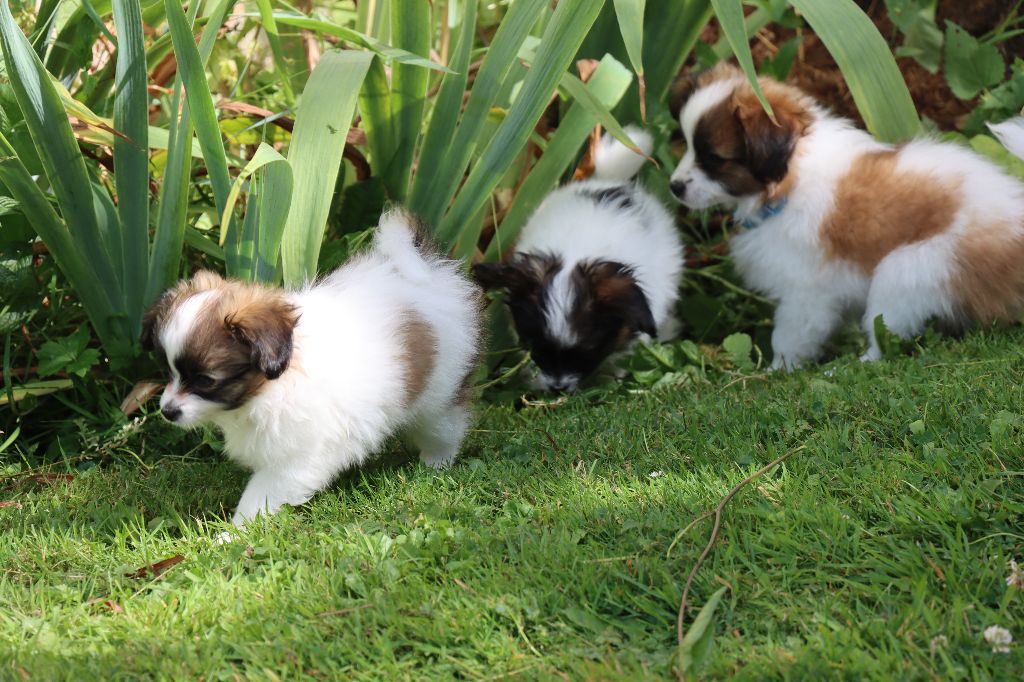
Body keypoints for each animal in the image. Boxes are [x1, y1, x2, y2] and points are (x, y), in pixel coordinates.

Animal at [142, 210, 485, 524]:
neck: (273, 384)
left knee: (444, 428)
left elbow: (259, 496)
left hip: (439, 397)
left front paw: (231, 534)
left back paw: (434, 464)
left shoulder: (297, 458)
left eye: (204, 380)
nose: (167, 411)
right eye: (169, 371)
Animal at [667, 65, 1019, 366]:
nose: (674, 187)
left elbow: (789, 337)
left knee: (884, 336)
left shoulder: (805, 291)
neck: (790, 178)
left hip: (908, 271)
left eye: (714, 159)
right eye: (686, 144)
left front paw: (776, 371)